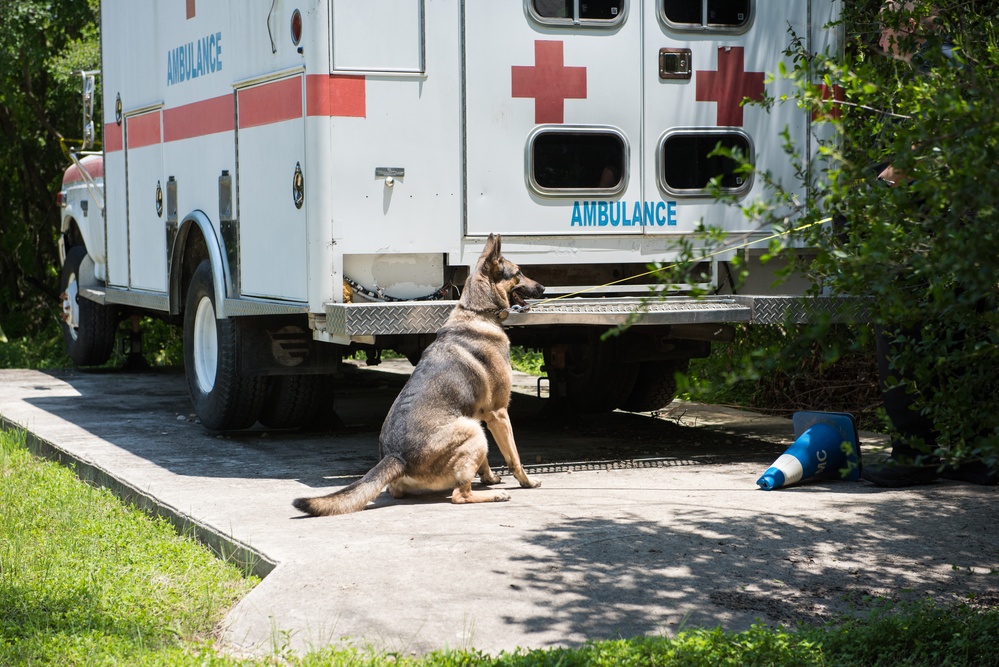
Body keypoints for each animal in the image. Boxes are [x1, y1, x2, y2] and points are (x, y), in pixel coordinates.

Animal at [294, 235, 548, 516]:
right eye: (519, 273)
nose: (544, 288)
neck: (476, 311)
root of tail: (395, 457)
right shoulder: (498, 414)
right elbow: (514, 456)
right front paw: (526, 482)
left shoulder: (480, 414)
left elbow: (485, 462)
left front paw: (490, 477)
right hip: (472, 431)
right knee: (459, 495)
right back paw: (495, 496)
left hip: (473, 429)